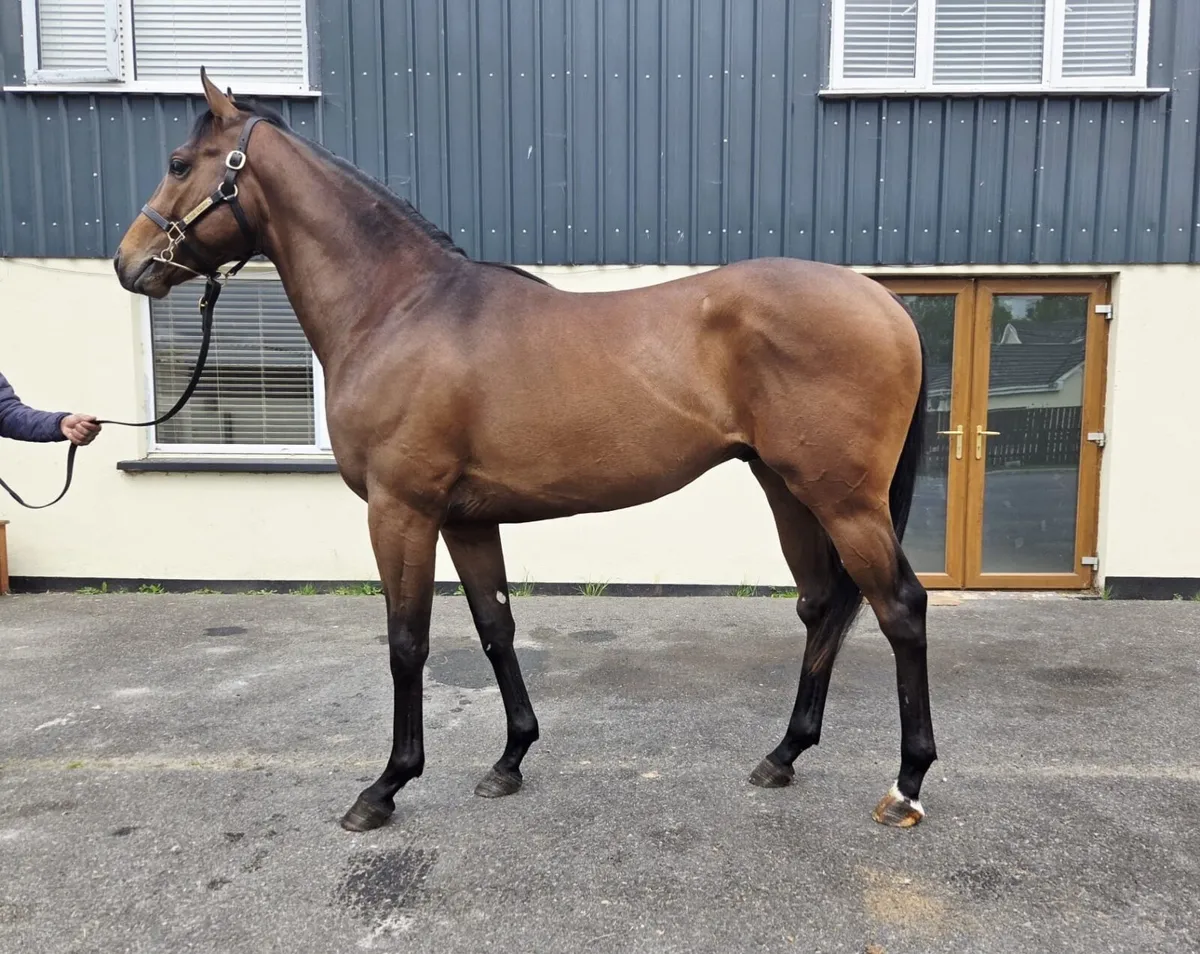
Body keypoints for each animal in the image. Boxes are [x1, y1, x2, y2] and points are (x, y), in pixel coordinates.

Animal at [114, 70, 937, 834]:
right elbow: (495, 628)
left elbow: (407, 641)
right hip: (788, 488)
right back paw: (784, 754)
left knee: (899, 607)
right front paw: (510, 758)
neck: (400, 309)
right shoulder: (467, 520)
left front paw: (386, 786)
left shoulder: (401, 511)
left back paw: (907, 784)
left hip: (842, 499)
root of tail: (885, 302)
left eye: (180, 162)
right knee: (823, 605)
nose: (129, 263)